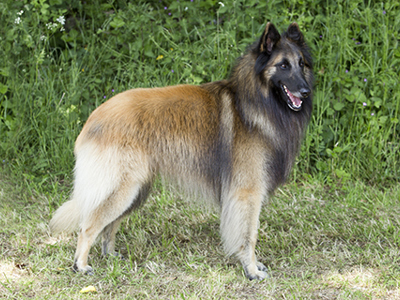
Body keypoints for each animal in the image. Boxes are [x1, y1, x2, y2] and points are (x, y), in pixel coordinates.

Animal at [49, 22, 312, 280]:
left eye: (301, 64)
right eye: (283, 65)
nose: (306, 91)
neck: (255, 102)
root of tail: (94, 118)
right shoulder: (247, 193)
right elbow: (249, 236)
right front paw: (251, 269)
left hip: (136, 191)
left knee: (108, 226)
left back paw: (110, 255)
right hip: (122, 189)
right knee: (89, 225)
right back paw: (81, 265)